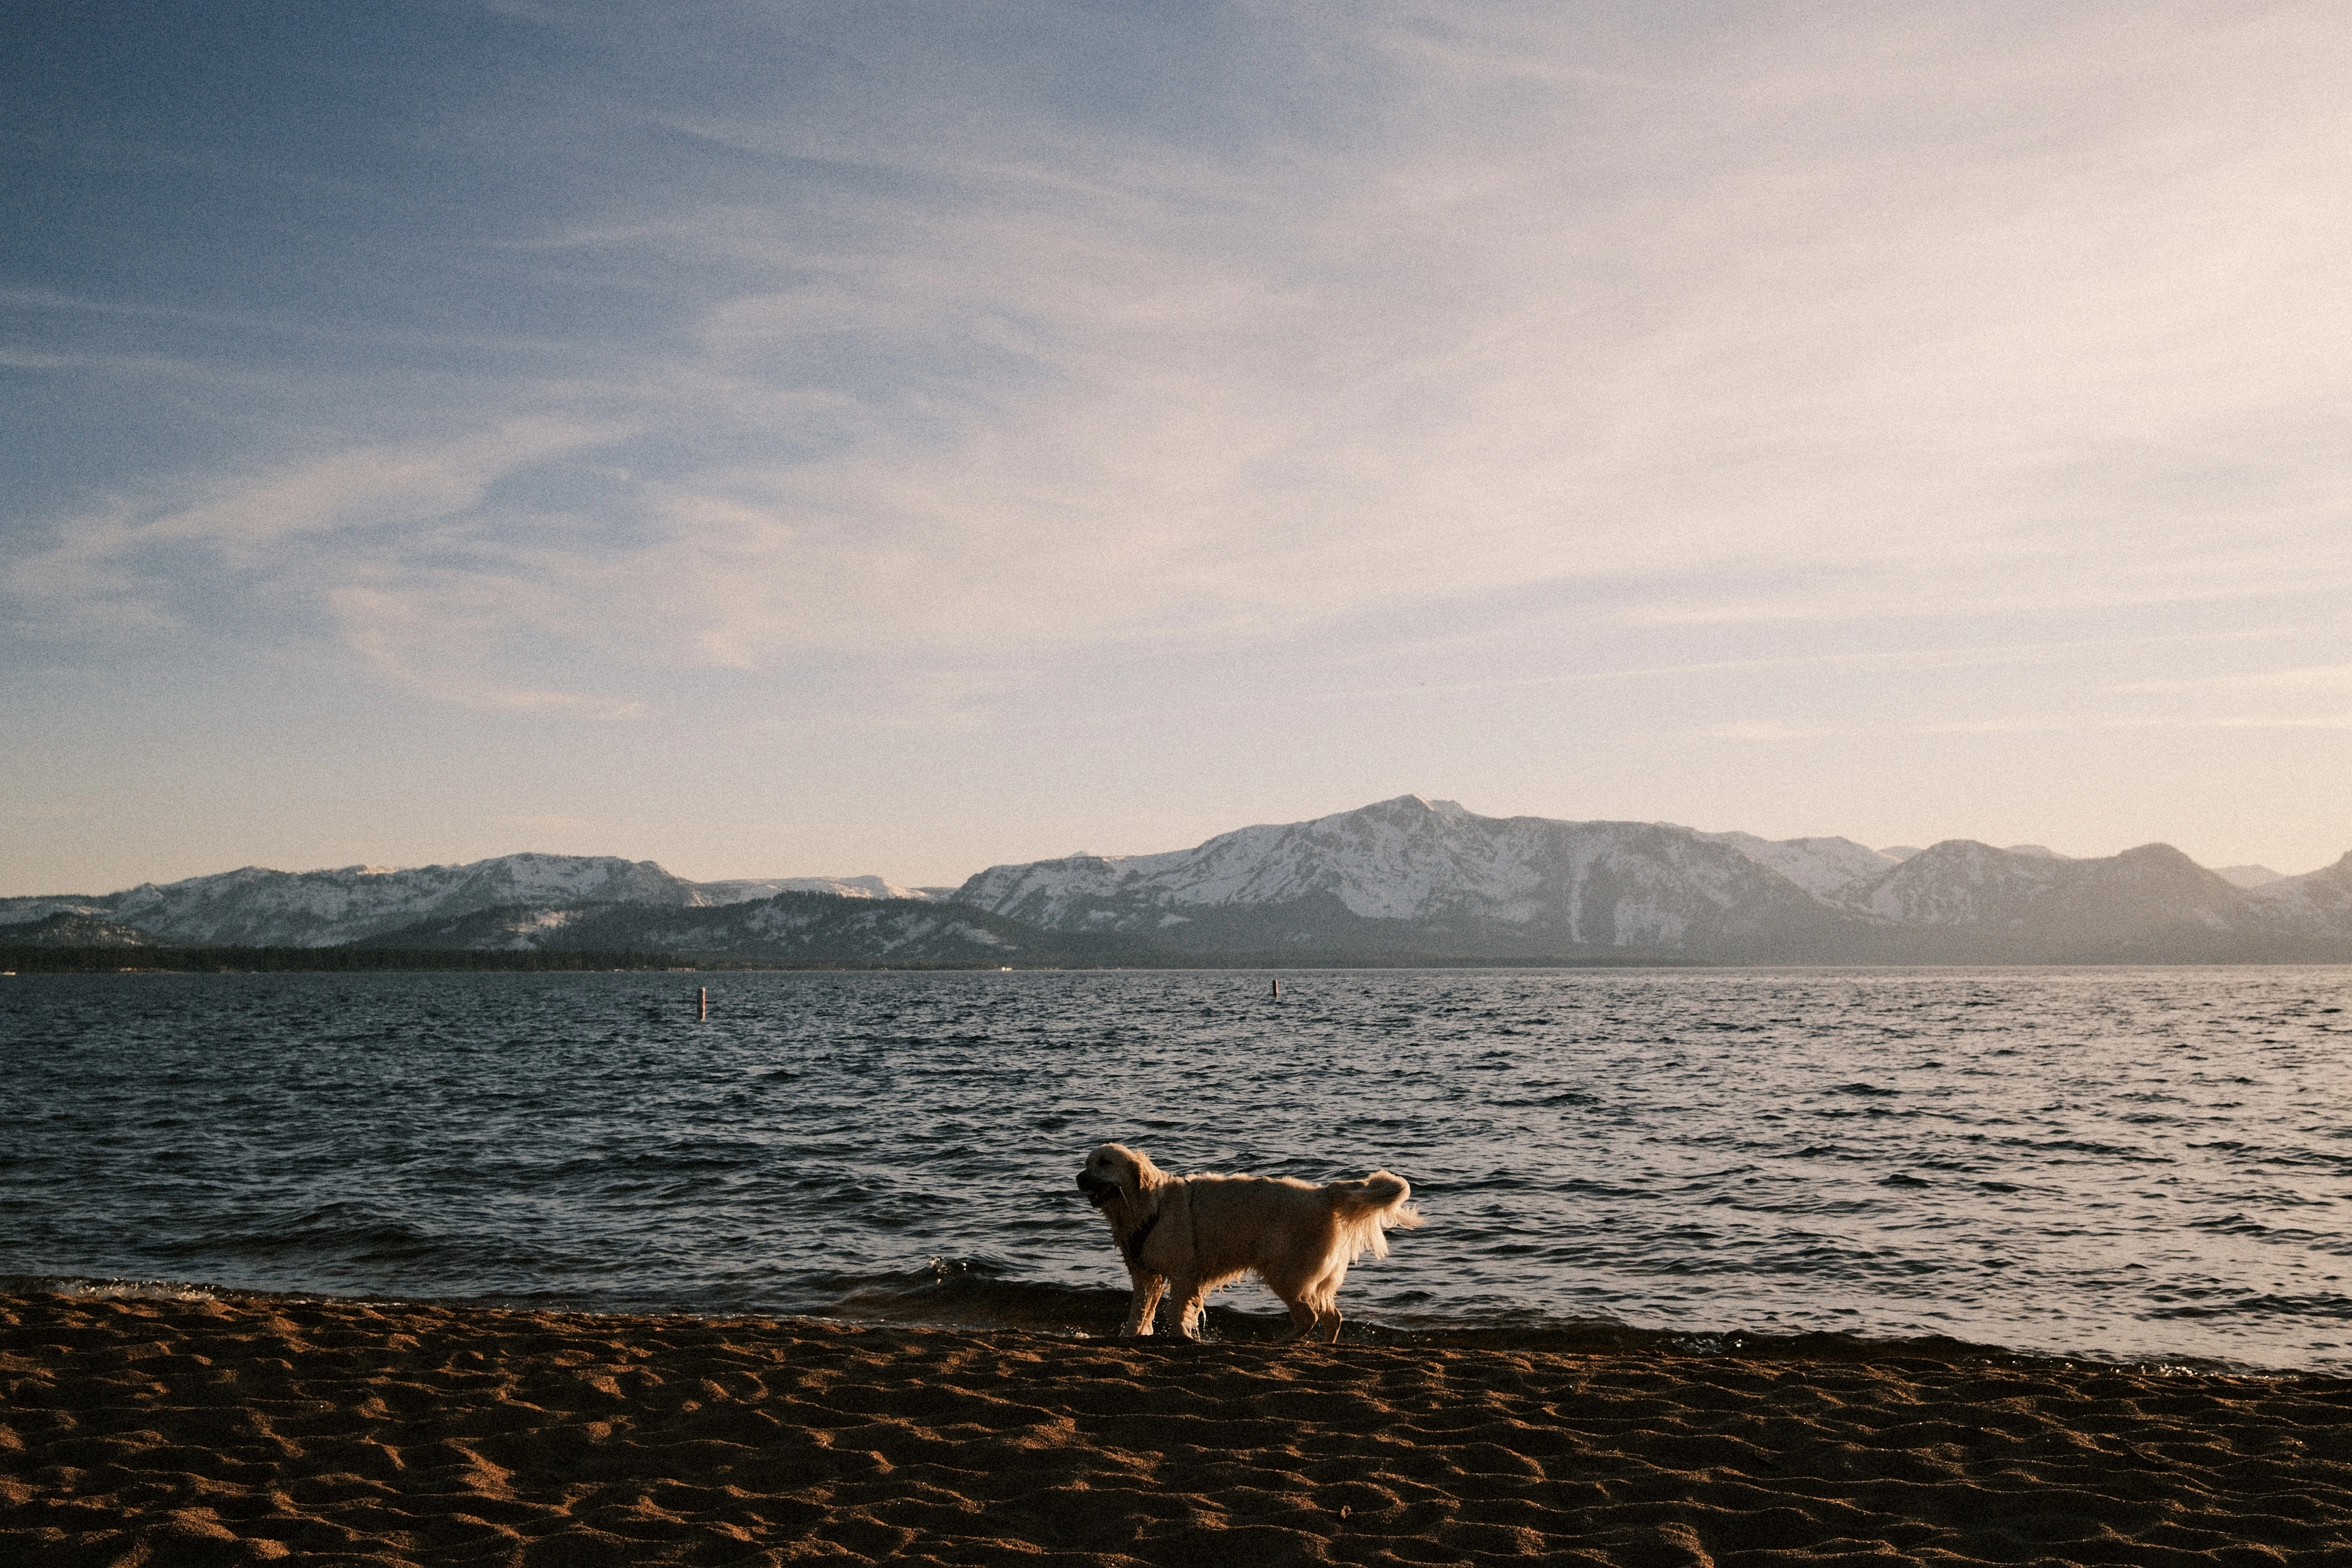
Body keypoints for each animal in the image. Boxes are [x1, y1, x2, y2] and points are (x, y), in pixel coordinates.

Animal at [1077, 1142, 1421, 1354]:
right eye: (1087, 1163)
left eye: (1105, 1162)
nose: (1079, 1178)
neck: (1148, 1206)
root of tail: (1323, 1194)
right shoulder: (1146, 1275)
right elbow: (1139, 1313)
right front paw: (1132, 1337)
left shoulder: (1183, 1274)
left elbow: (1175, 1312)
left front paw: (1183, 1338)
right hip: (1305, 1278)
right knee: (1332, 1317)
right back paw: (1324, 1345)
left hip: (1286, 1275)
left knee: (1308, 1318)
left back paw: (1281, 1342)